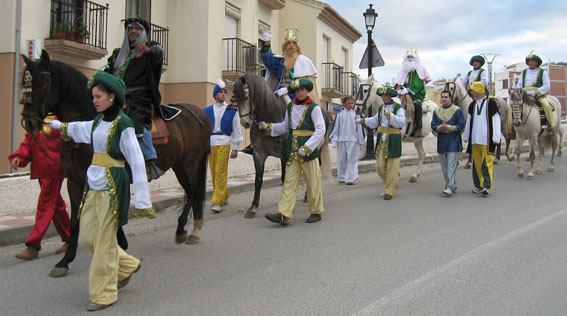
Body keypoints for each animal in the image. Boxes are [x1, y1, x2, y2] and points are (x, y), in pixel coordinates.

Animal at [20, 49, 212, 276]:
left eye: (43, 82)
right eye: (25, 83)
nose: (28, 122)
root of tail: (199, 113)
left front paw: (120, 246)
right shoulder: (74, 181)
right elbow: (76, 221)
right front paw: (65, 261)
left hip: (189, 163)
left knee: (194, 192)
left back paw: (185, 230)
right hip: (179, 164)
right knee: (192, 193)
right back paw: (190, 229)